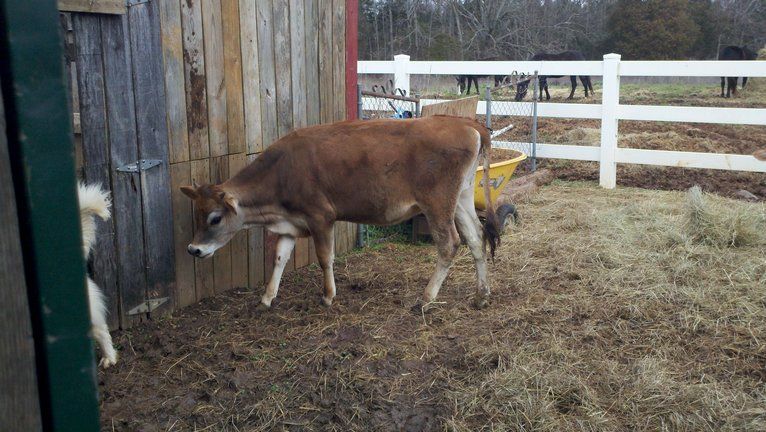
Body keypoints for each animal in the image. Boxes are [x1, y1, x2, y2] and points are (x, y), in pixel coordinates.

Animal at [181, 116, 502, 311]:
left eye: (215, 218)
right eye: (196, 214)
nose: (193, 249)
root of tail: (467, 124)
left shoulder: (321, 216)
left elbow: (325, 258)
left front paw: (328, 296)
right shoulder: (290, 224)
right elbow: (279, 258)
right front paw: (267, 297)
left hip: (436, 202)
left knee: (449, 243)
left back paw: (426, 298)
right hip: (461, 197)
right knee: (477, 238)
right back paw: (482, 295)